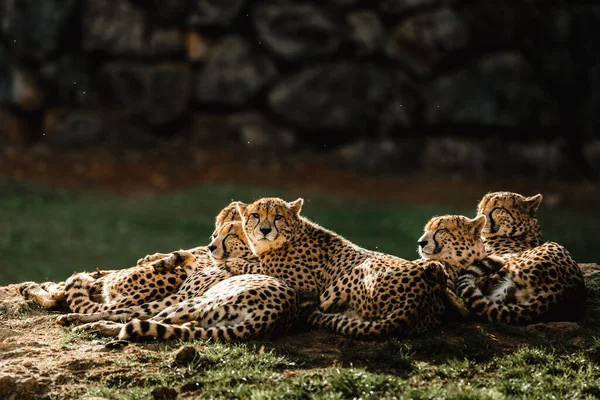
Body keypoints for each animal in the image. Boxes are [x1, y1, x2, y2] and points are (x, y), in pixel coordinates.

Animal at [234, 197, 446, 338]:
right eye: (255, 215)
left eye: (278, 217)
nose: (265, 230)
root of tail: (419, 297)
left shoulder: (303, 285)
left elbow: (253, 268)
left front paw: (235, 262)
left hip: (356, 271)